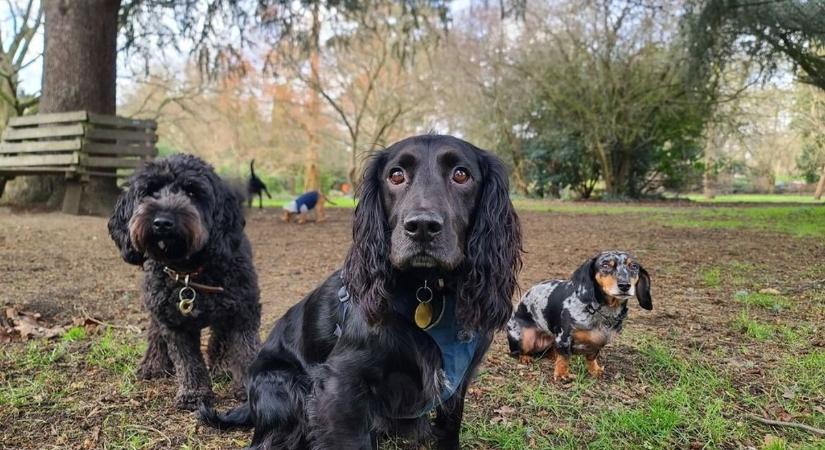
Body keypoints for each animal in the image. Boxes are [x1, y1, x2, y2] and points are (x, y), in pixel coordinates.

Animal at [107, 155, 260, 412]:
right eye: (149, 191)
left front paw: (250, 389)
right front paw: (194, 394)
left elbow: (245, 351)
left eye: (192, 192)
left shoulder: (242, 311)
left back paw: (221, 365)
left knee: (220, 336)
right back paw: (153, 364)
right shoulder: (174, 322)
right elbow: (188, 361)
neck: (190, 272)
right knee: (155, 332)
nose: (162, 222)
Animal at [200, 135, 520, 450]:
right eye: (396, 175)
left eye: (461, 174)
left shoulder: (457, 382)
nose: (422, 227)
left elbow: (450, 428)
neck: (428, 291)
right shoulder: (340, 386)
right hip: (287, 388)